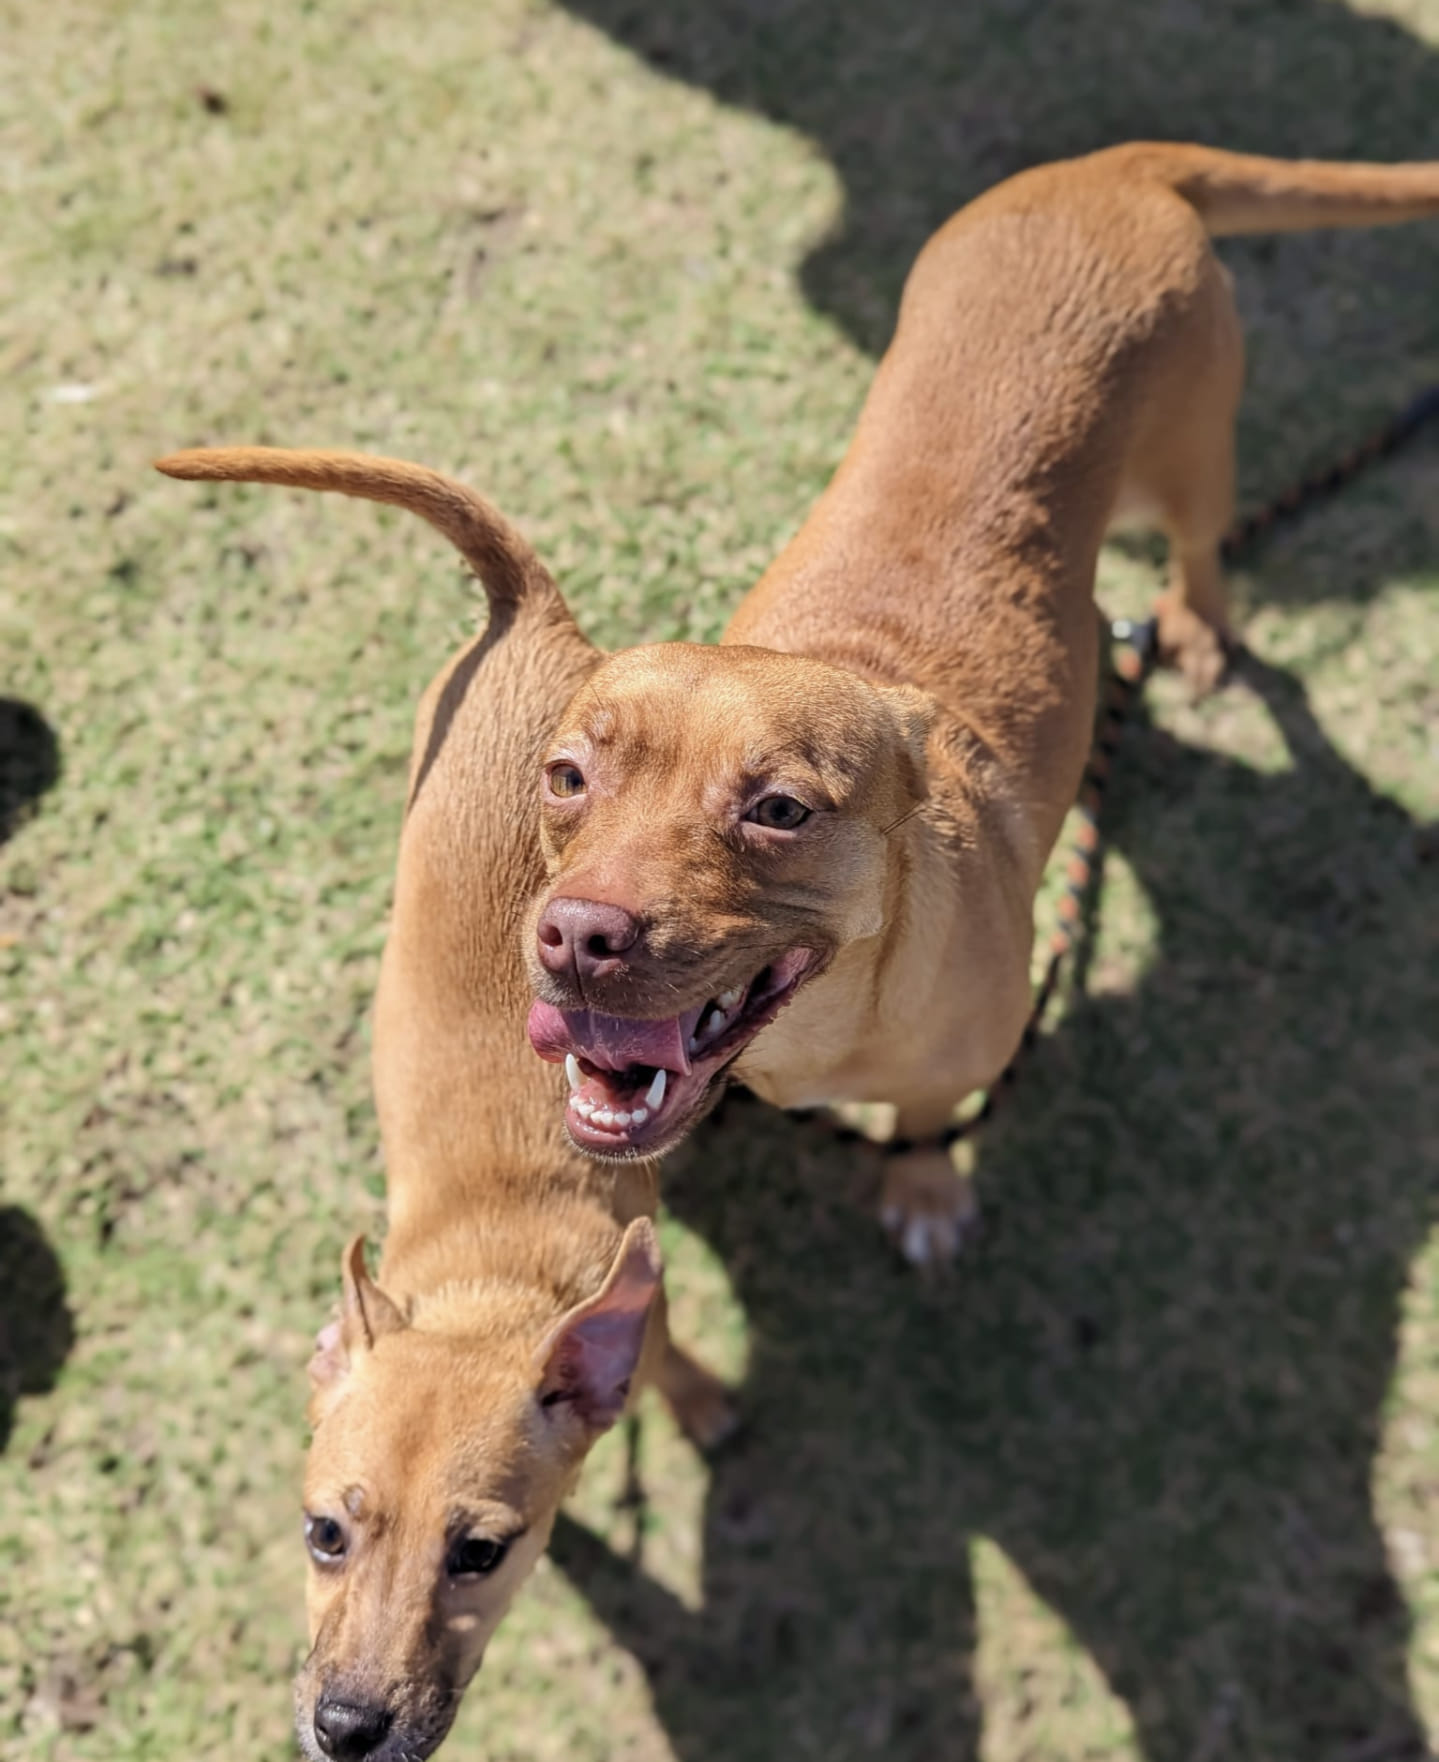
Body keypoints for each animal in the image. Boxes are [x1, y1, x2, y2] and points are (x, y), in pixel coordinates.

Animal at [160, 451, 729, 1762]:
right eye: (323, 1532)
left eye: (479, 1552)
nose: (347, 1727)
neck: (493, 1275)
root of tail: (521, 613)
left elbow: (670, 1355)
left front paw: (699, 1404)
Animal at [521, 144, 1437, 1261]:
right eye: (566, 778)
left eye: (779, 809)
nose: (577, 936)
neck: (811, 1037)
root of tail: (1114, 164)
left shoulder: (960, 1064)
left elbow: (923, 1118)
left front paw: (921, 1187)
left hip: (1189, 462)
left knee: (1205, 547)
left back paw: (1195, 625)